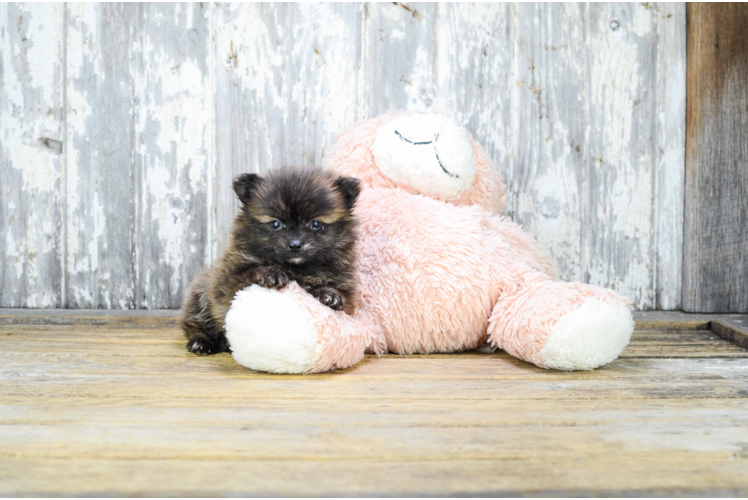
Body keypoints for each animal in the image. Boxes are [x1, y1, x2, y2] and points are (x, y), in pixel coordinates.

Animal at [178, 168, 360, 356]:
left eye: (315, 224)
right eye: (276, 224)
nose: (295, 245)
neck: (296, 269)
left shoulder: (346, 291)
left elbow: (338, 296)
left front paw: (330, 294)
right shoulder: (228, 281)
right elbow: (248, 274)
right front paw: (271, 274)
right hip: (200, 295)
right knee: (194, 324)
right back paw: (200, 343)